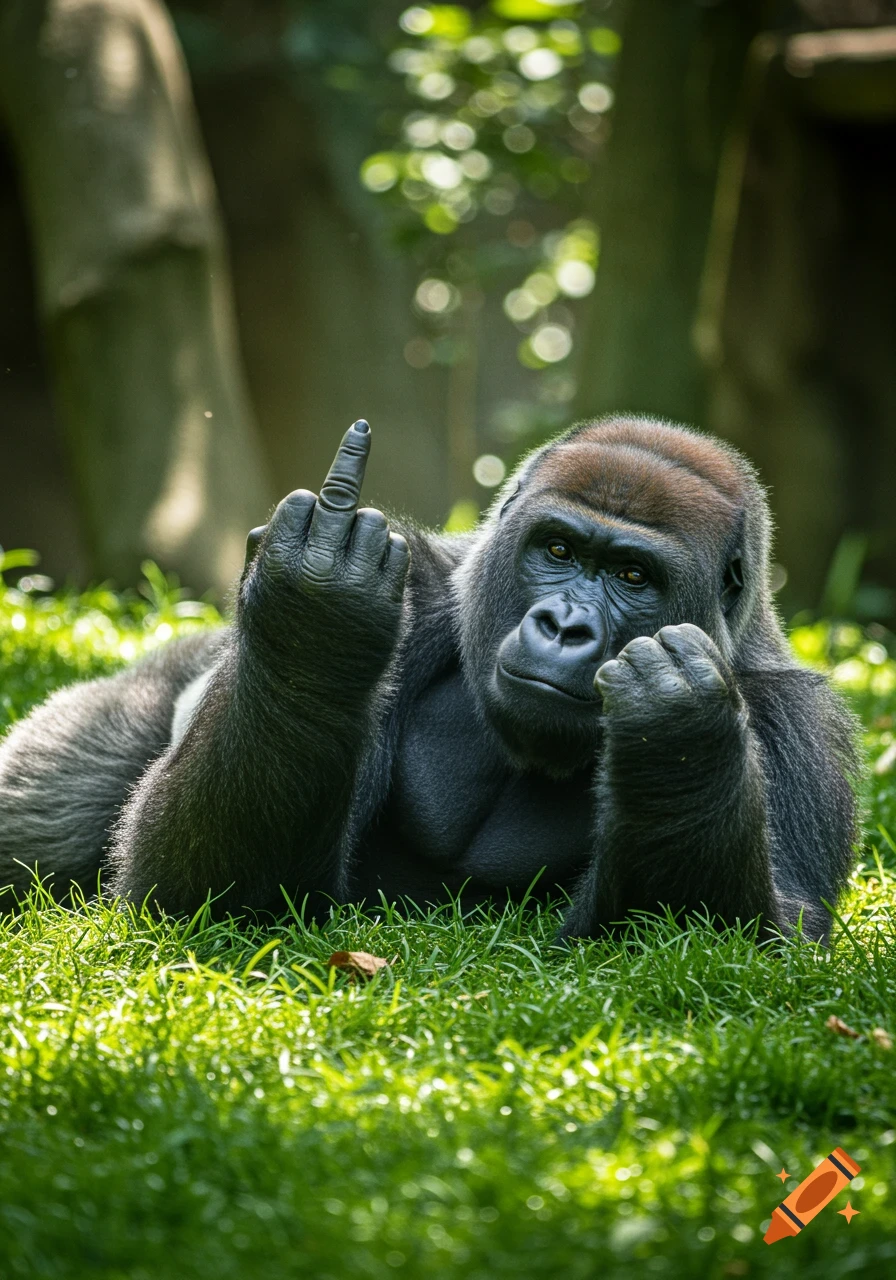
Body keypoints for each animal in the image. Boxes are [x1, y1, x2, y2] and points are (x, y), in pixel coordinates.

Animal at [0, 416, 860, 940]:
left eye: (632, 575)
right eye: (557, 550)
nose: (565, 627)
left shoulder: (795, 726)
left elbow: (721, 936)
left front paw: (678, 735)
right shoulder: (419, 593)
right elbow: (199, 892)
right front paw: (315, 618)